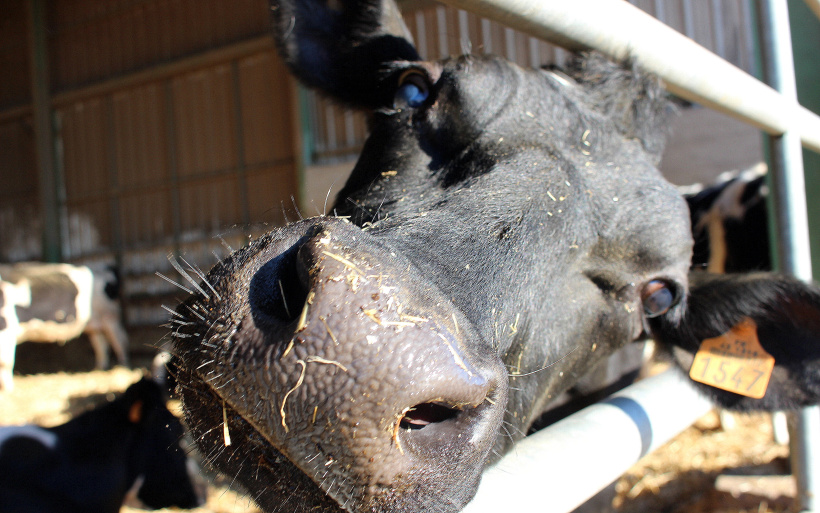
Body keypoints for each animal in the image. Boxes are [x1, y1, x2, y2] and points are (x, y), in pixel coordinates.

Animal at [0, 264, 128, 388]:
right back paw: (100, 368)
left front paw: (7, 388)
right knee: (100, 343)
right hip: (95, 323)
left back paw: (123, 366)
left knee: (119, 339)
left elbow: (5, 362)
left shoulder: (7, 328)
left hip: (111, 317)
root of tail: (105, 267)